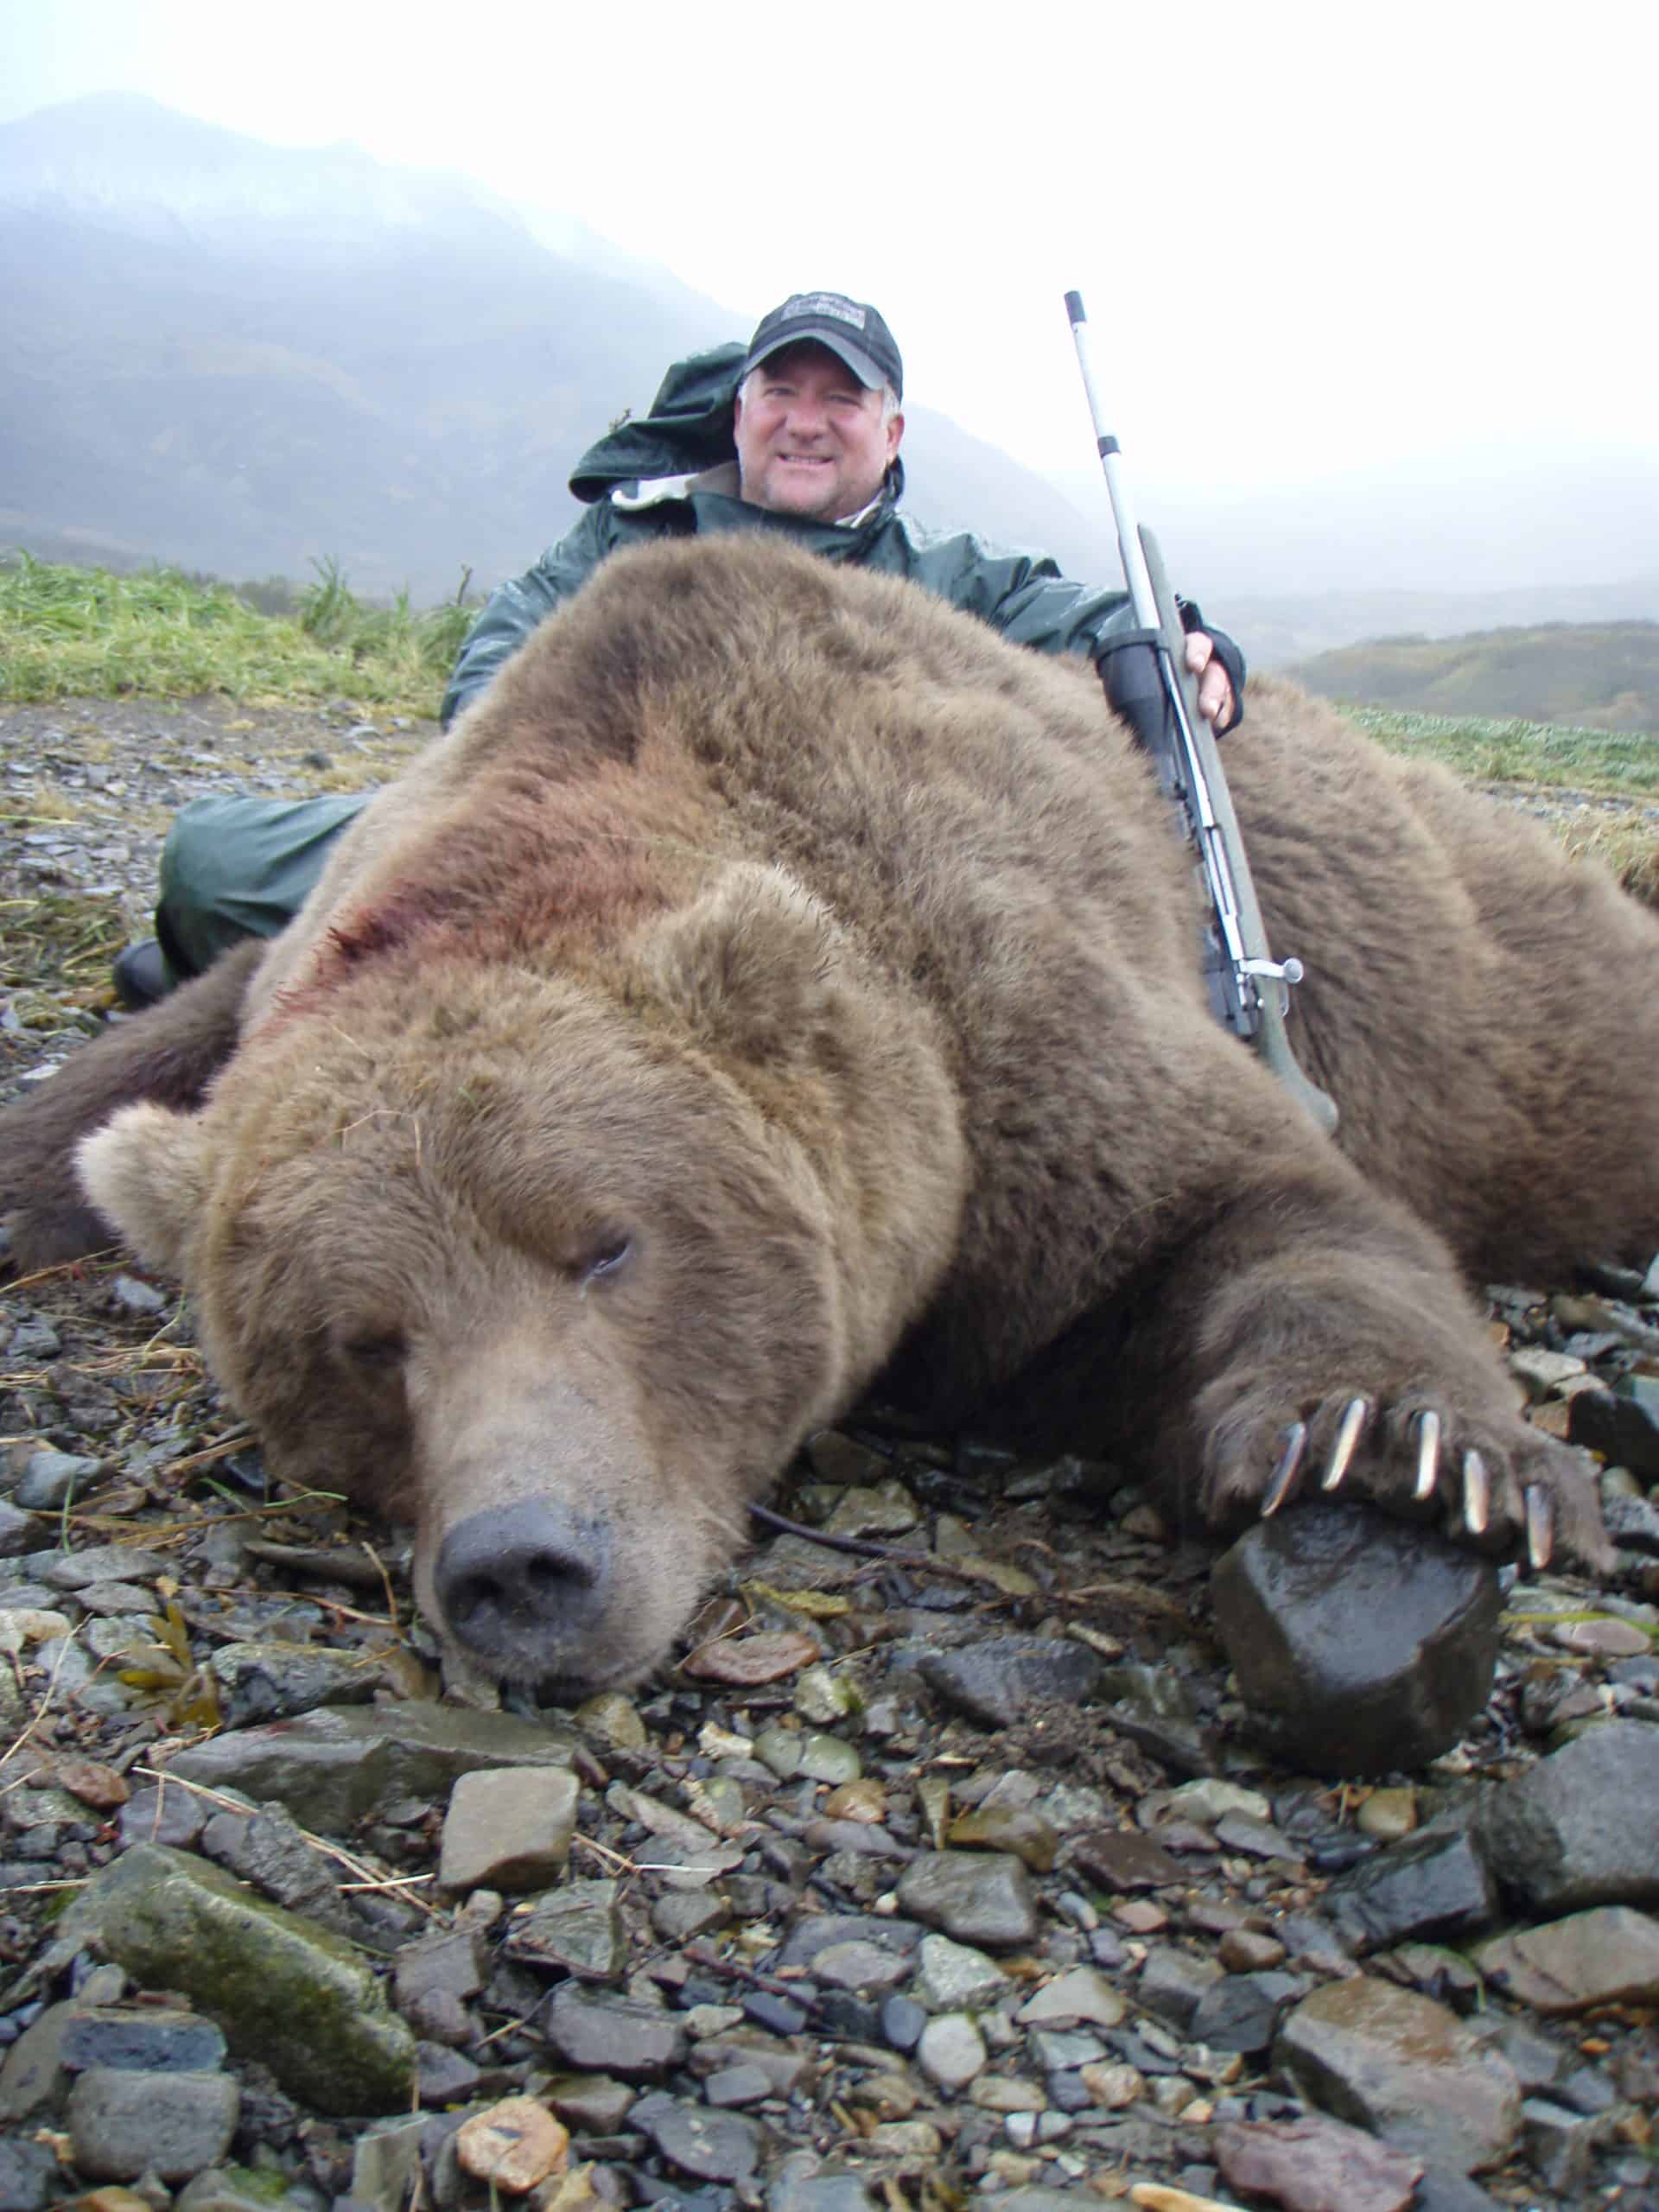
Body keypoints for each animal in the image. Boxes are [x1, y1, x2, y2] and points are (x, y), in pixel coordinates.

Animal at [2, 534, 1653, 1699]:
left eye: (608, 1248)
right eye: (361, 1341)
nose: (521, 1564)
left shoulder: (1007, 1013)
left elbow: (1253, 1204)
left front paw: (1400, 1448)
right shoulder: (305, 952)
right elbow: (140, 1059)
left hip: (1492, 982)